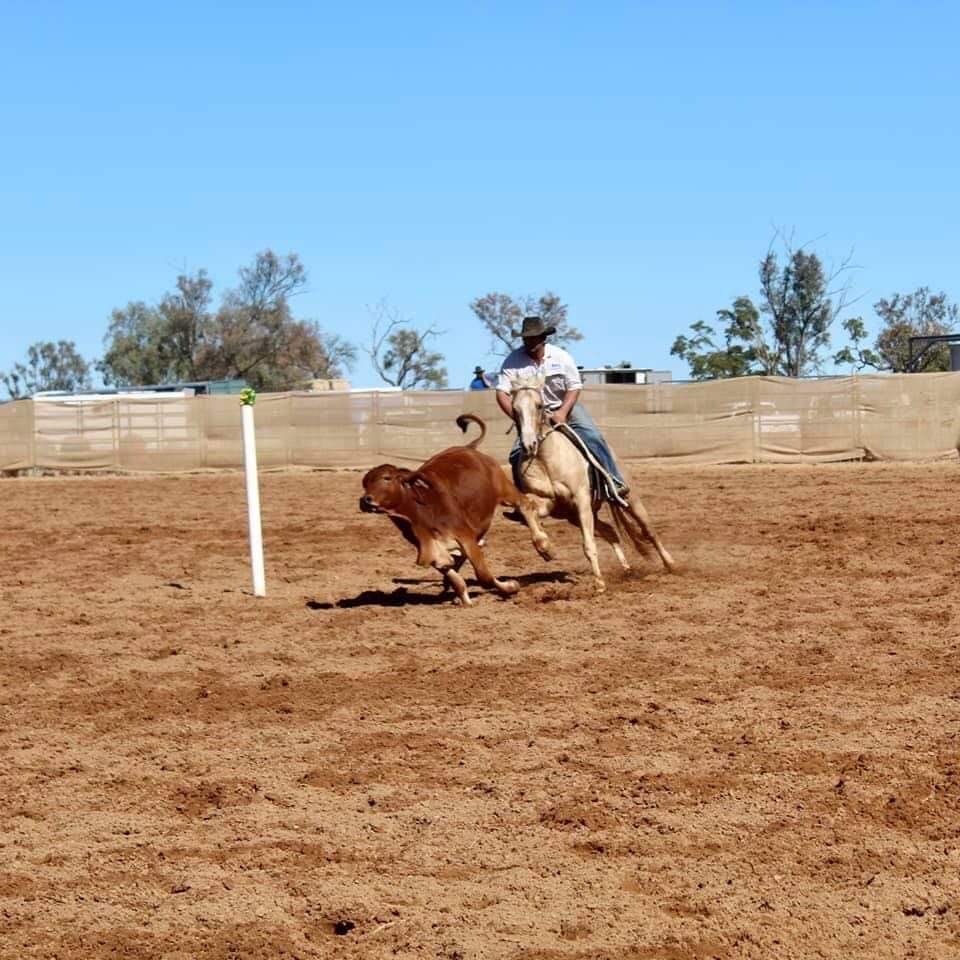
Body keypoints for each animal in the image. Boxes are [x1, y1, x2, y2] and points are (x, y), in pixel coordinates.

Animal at [359, 414, 553, 606]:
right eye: (365, 483)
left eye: (387, 478)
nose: (366, 500)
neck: (422, 514)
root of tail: (469, 448)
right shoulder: (435, 554)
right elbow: (455, 578)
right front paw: (464, 599)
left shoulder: (465, 537)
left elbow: (484, 576)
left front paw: (511, 587)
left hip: (505, 490)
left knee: (526, 505)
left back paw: (544, 546)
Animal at [508, 376, 676, 590]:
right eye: (514, 408)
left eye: (539, 405)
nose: (529, 444)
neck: (546, 459)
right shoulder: (548, 502)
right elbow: (527, 509)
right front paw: (546, 549)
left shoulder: (581, 500)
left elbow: (588, 545)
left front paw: (599, 583)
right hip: (576, 516)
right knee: (611, 532)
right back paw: (627, 570)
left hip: (630, 500)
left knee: (649, 532)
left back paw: (671, 565)